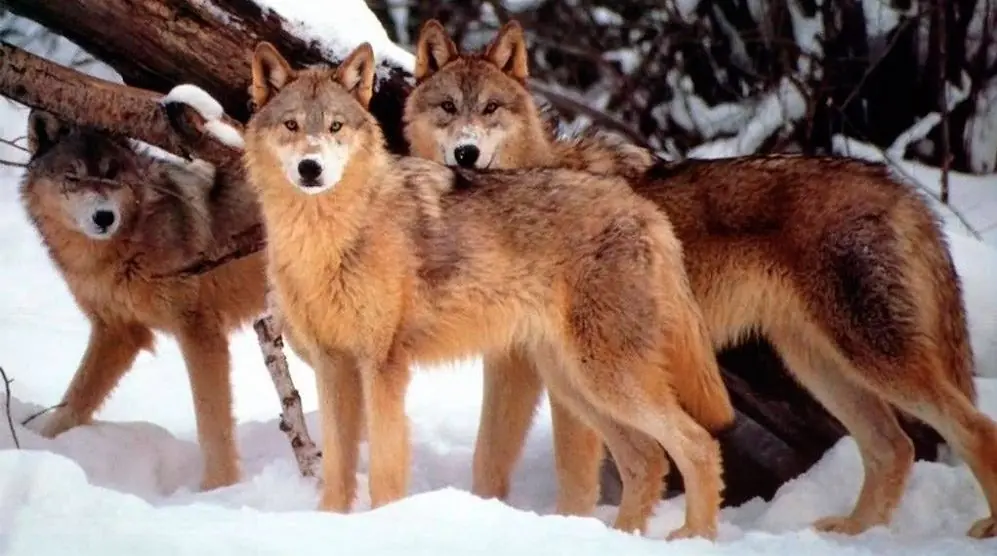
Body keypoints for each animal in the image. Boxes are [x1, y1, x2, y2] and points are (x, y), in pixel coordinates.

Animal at [21, 111, 268, 490]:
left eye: (111, 174)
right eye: (73, 178)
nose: (104, 217)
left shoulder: (200, 331)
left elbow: (212, 421)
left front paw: (217, 489)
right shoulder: (117, 332)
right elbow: (73, 401)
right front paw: (39, 444)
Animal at [242, 40, 736, 540]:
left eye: (335, 127)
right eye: (291, 126)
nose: (311, 168)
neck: (329, 239)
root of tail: (643, 208)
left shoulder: (383, 368)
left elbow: (384, 469)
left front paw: (386, 524)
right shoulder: (333, 367)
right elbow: (337, 473)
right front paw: (330, 524)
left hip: (606, 379)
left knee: (698, 443)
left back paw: (694, 536)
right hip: (575, 384)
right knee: (646, 459)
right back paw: (621, 536)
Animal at [402, 19, 997, 539]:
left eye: (491, 108)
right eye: (448, 108)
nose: (466, 153)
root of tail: (897, 186)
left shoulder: (555, 382)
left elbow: (574, 475)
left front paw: (570, 527)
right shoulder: (516, 366)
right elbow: (488, 462)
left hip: (872, 360)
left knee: (972, 428)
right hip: (818, 365)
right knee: (894, 447)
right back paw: (855, 532)